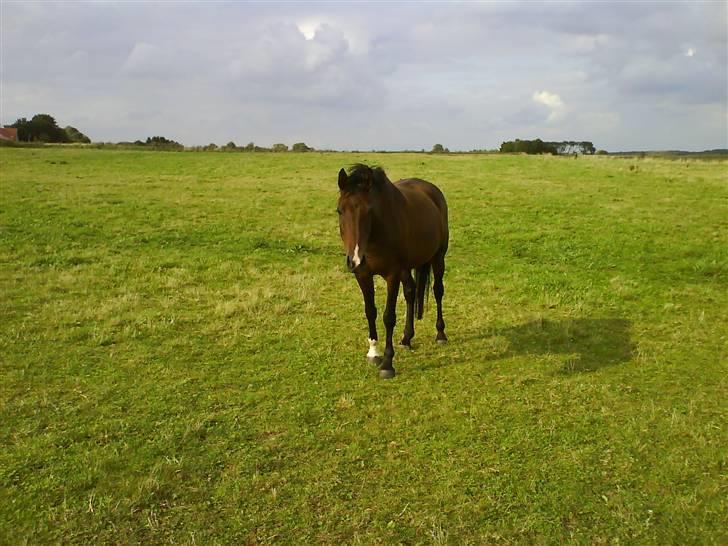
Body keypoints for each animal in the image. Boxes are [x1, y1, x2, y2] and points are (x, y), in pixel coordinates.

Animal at [336, 164, 450, 376]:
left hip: (438, 258)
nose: (354, 259)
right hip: (406, 269)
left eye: (369, 211)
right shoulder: (363, 274)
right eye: (340, 210)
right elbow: (370, 311)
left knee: (438, 291)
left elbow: (388, 317)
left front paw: (387, 364)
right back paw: (406, 338)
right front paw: (373, 353)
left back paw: (440, 334)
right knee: (411, 292)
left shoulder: (392, 275)